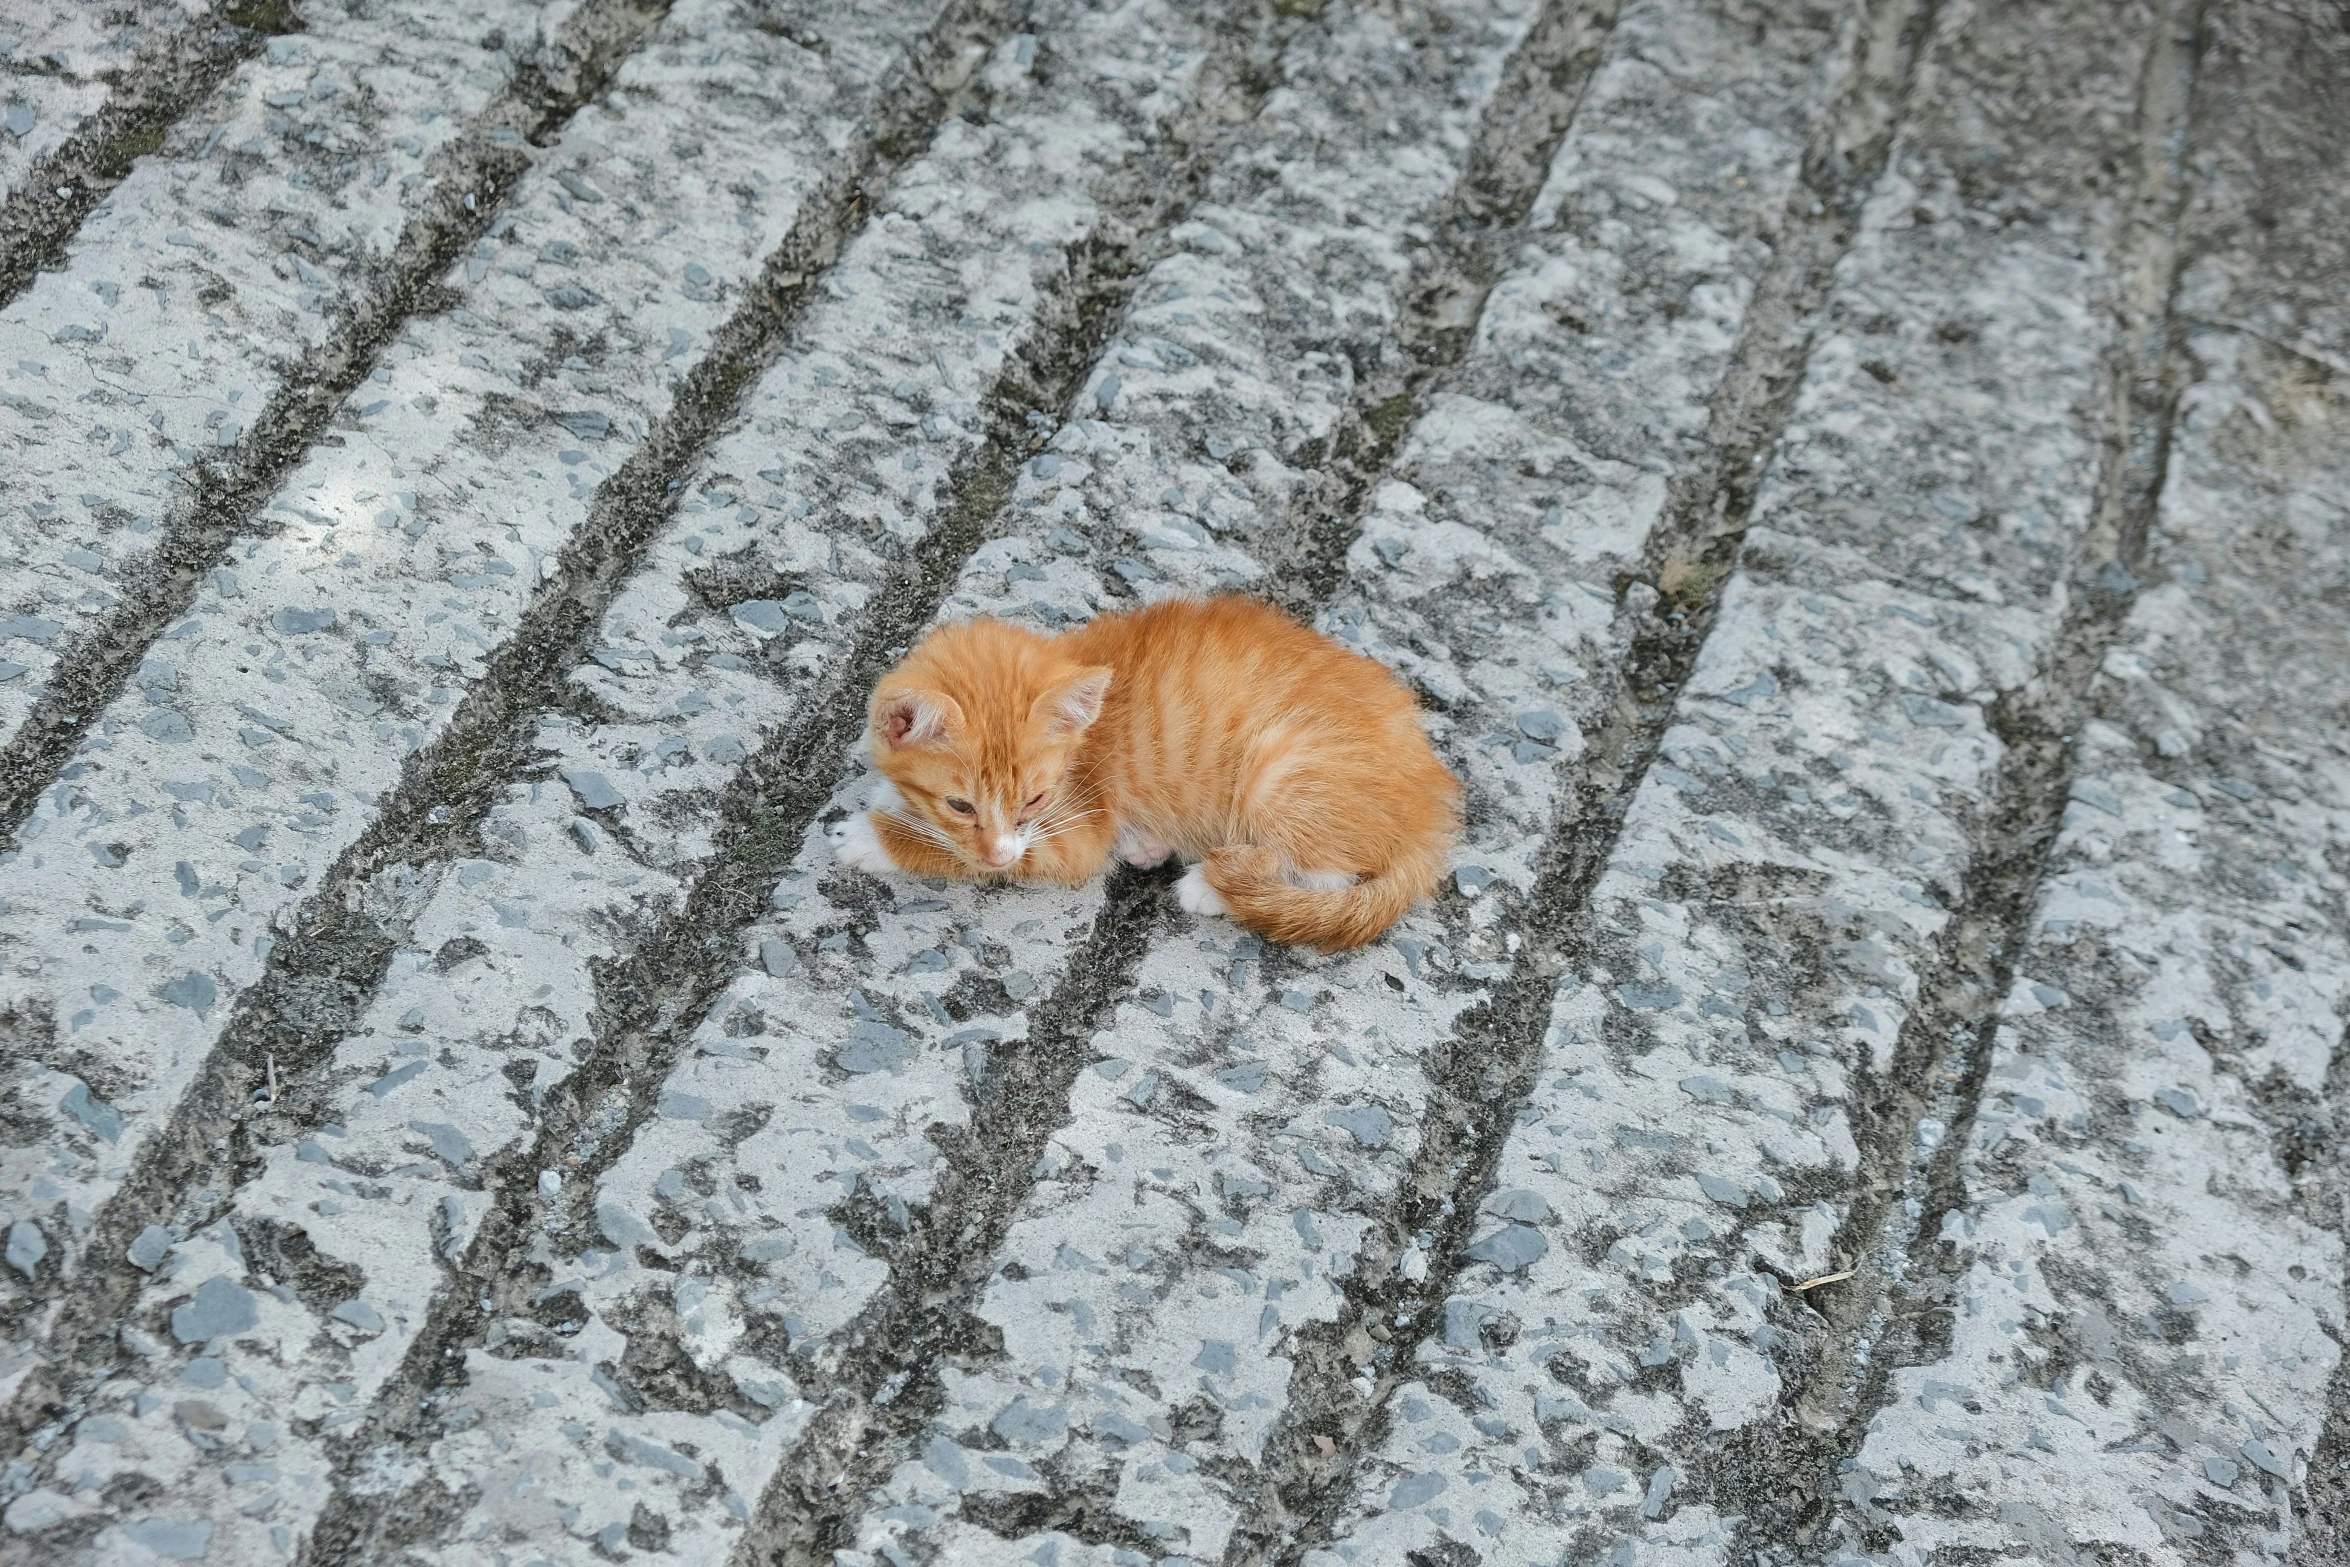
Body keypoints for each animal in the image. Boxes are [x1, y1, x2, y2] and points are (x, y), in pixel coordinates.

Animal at [836, 594, 1457, 949]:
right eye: (961, 804)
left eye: (1034, 800)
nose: (998, 854)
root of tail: (1437, 807)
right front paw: (889, 797)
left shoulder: (1075, 829)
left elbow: (987, 852)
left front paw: (873, 836)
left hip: (1280, 768)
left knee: (1328, 873)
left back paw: (1209, 884)